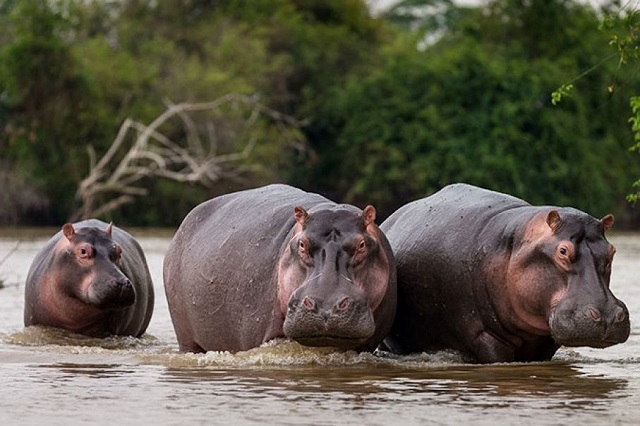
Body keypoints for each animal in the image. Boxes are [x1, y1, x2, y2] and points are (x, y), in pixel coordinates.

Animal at [380, 183, 632, 362]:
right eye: (562, 250)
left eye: (612, 250)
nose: (608, 316)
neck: (517, 242)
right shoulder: (483, 335)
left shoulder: (546, 340)